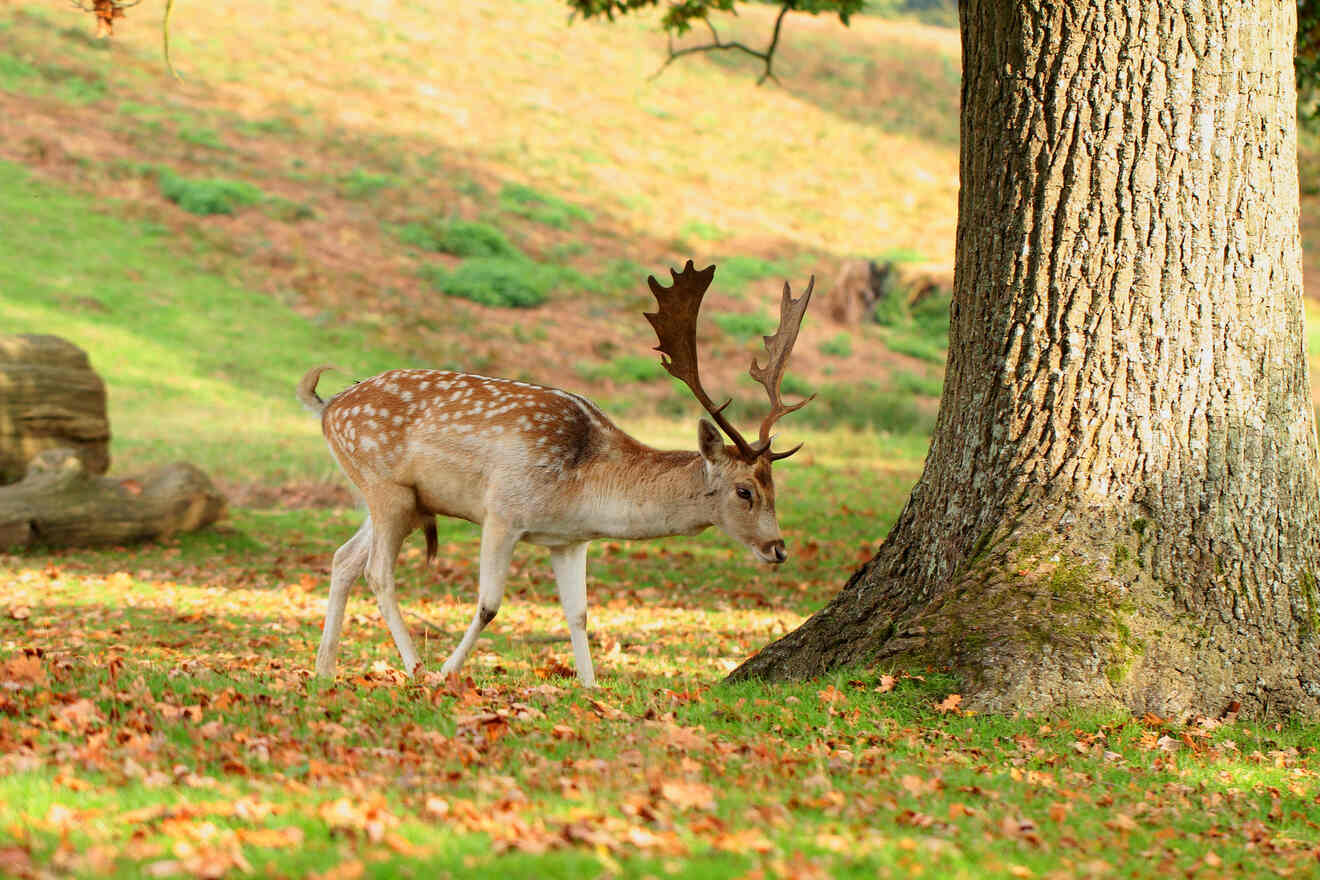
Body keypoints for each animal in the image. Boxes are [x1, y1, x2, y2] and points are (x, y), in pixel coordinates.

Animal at [299, 261, 813, 686]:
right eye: (744, 491)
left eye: (774, 488)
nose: (779, 548)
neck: (583, 488)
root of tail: (326, 407)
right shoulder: (502, 512)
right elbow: (489, 604)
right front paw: (448, 673)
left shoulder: (569, 540)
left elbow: (579, 614)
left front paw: (591, 687)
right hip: (383, 486)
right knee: (378, 572)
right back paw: (417, 668)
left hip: (401, 499)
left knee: (344, 558)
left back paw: (324, 670)